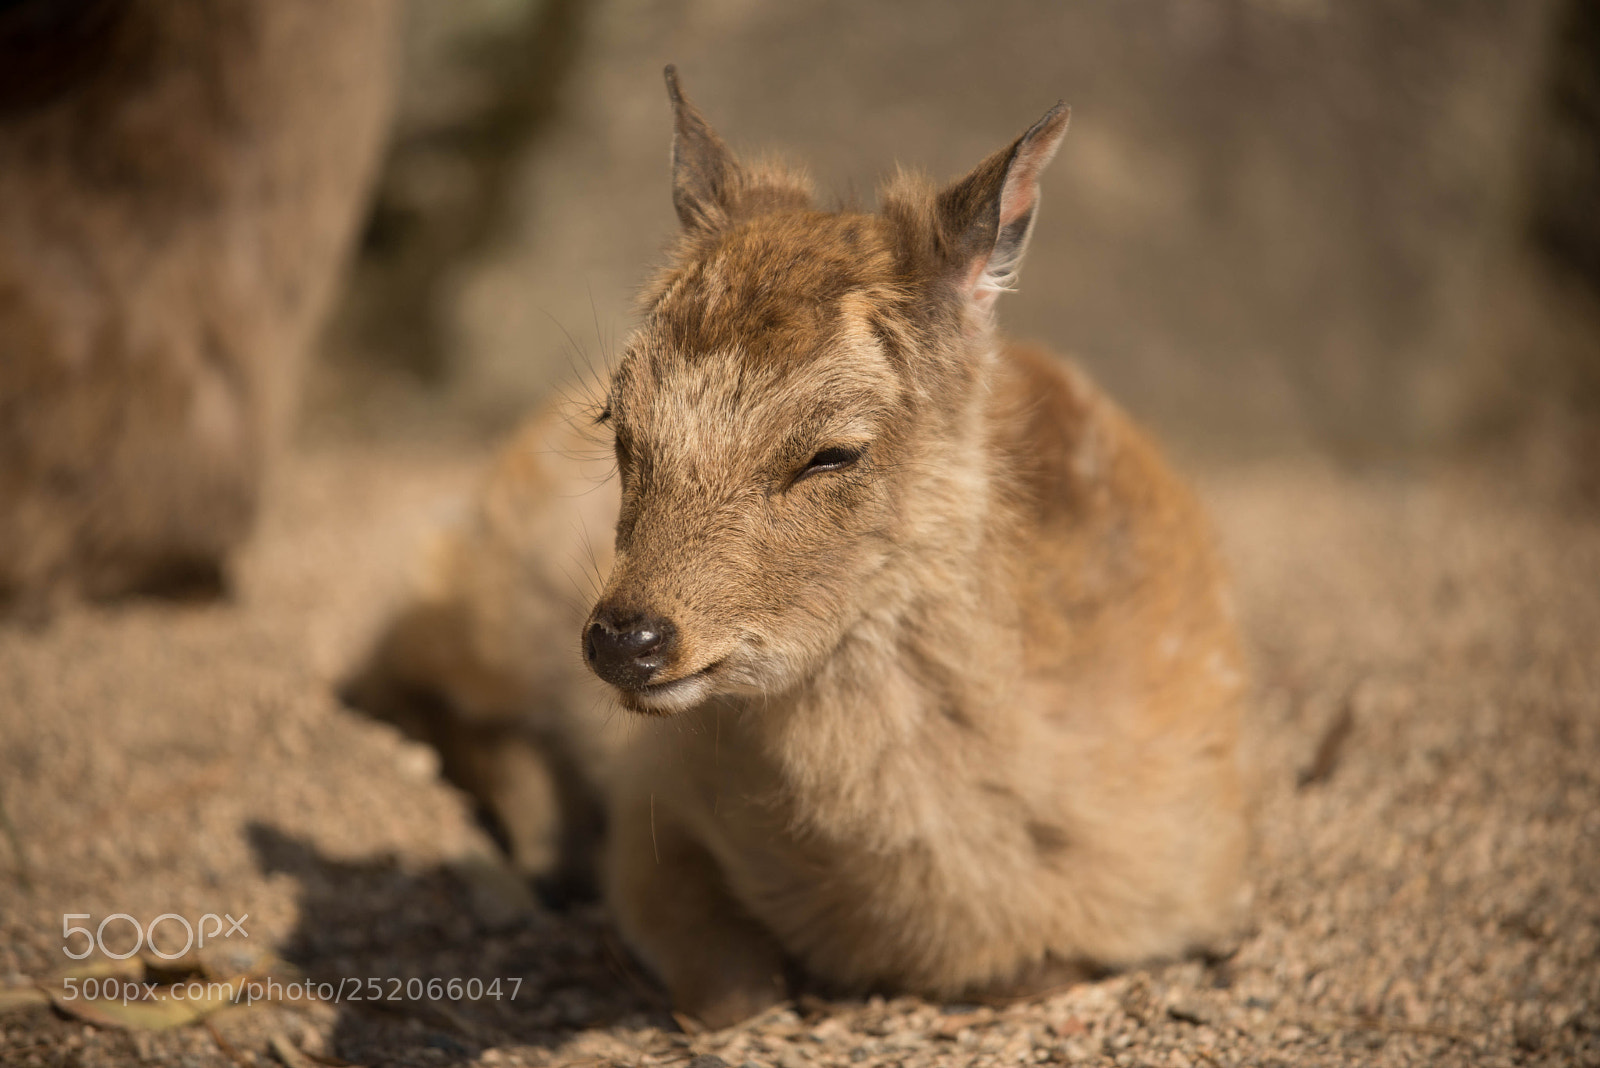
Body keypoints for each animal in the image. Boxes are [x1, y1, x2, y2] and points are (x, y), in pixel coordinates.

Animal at [344, 67, 1251, 1029]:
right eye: (619, 422)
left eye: (832, 451)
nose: (627, 638)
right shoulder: (652, 796)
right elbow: (734, 991)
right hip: (490, 585)